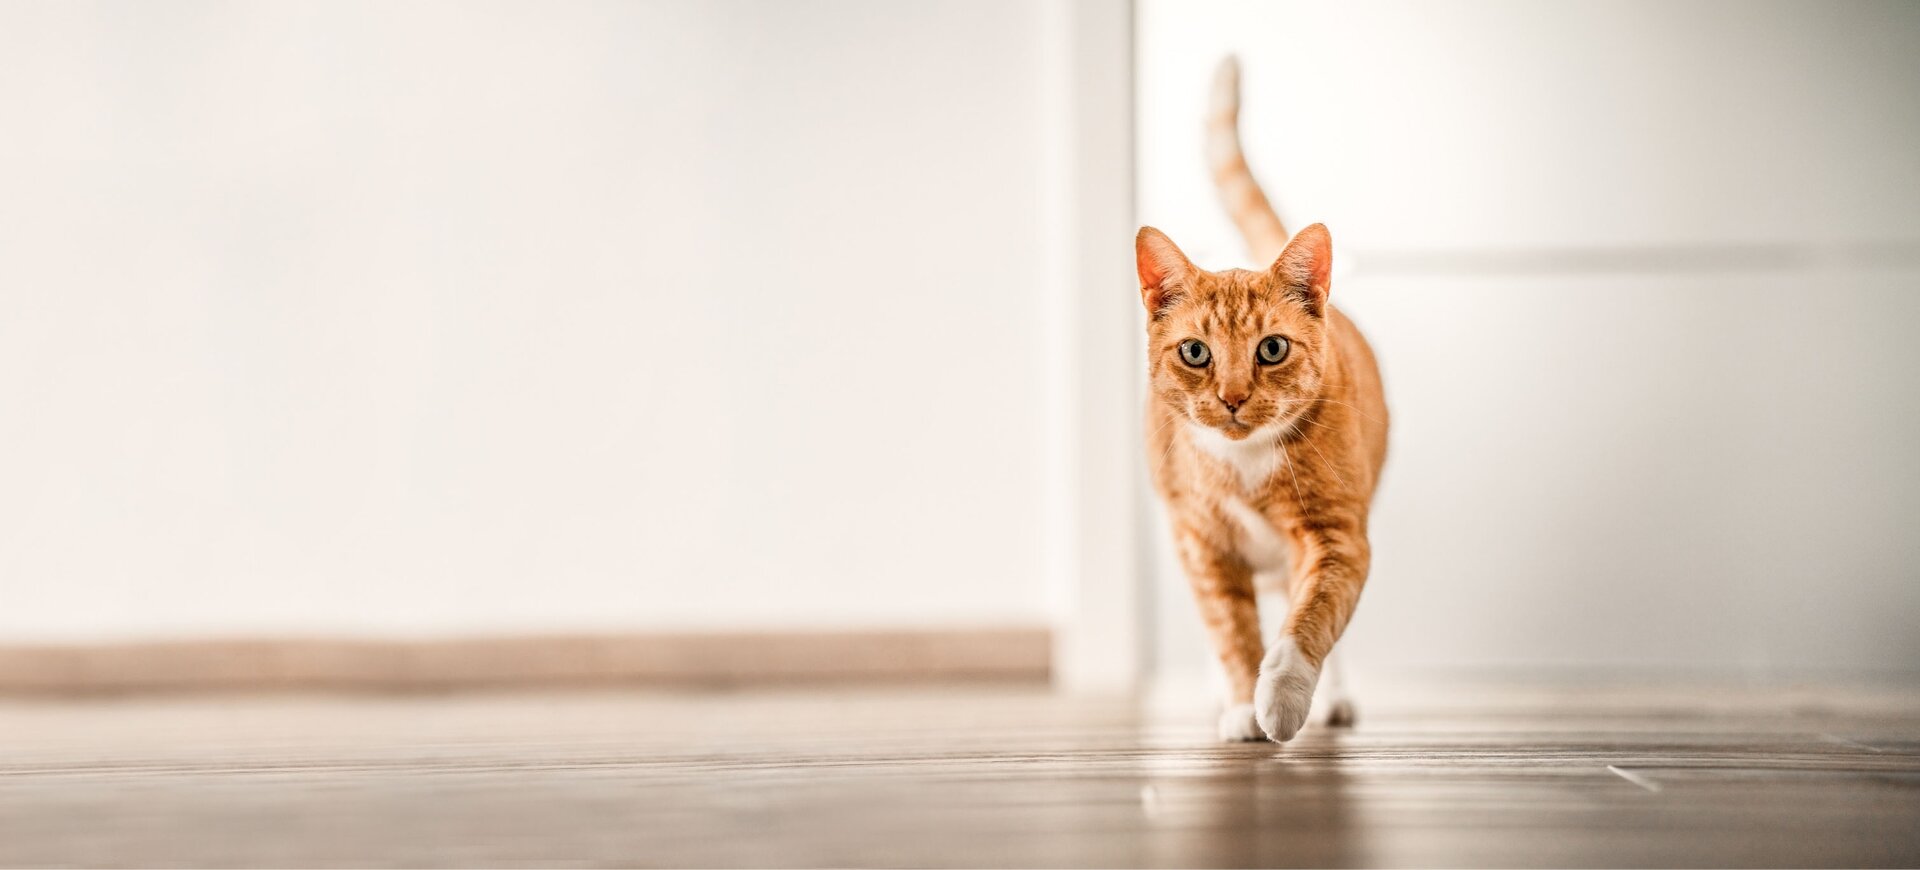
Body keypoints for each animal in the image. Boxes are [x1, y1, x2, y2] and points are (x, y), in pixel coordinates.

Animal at [1136, 57, 1397, 741]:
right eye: (1195, 352)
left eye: (1272, 349)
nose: (1231, 397)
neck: (1246, 461)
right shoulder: (1202, 546)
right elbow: (1230, 631)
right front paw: (1240, 706)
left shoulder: (1337, 537)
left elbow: (1311, 620)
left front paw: (1280, 698)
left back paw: (1333, 700)